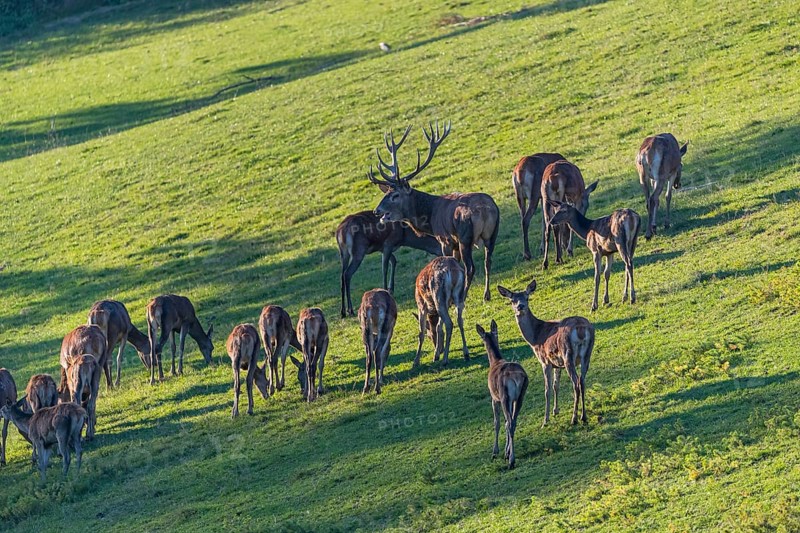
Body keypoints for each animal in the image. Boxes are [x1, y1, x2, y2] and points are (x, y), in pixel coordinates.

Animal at [368, 121, 501, 301]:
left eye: (395, 195)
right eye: (386, 193)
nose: (377, 210)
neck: (430, 219)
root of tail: (486, 211)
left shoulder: (445, 239)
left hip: (465, 237)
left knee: (470, 267)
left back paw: (464, 295)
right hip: (492, 233)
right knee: (488, 261)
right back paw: (486, 294)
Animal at [476, 320, 528, 469]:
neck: (494, 362)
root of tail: (516, 377)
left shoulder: (494, 398)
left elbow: (497, 422)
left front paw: (495, 452)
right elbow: (504, 422)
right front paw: (505, 451)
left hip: (505, 396)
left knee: (510, 422)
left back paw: (511, 460)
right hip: (520, 395)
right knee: (513, 421)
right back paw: (510, 456)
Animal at [497, 279, 595, 426]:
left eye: (527, 297)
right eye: (512, 300)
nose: (520, 306)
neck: (535, 337)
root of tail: (581, 329)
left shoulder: (545, 361)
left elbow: (547, 389)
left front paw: (545, 419)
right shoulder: (557, 364)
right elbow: (555, 386)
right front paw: (555, 411)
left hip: (568, 354)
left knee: (576, 383)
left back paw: (574, 418)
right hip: (587, 354)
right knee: (582, 381)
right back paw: (583, 416)